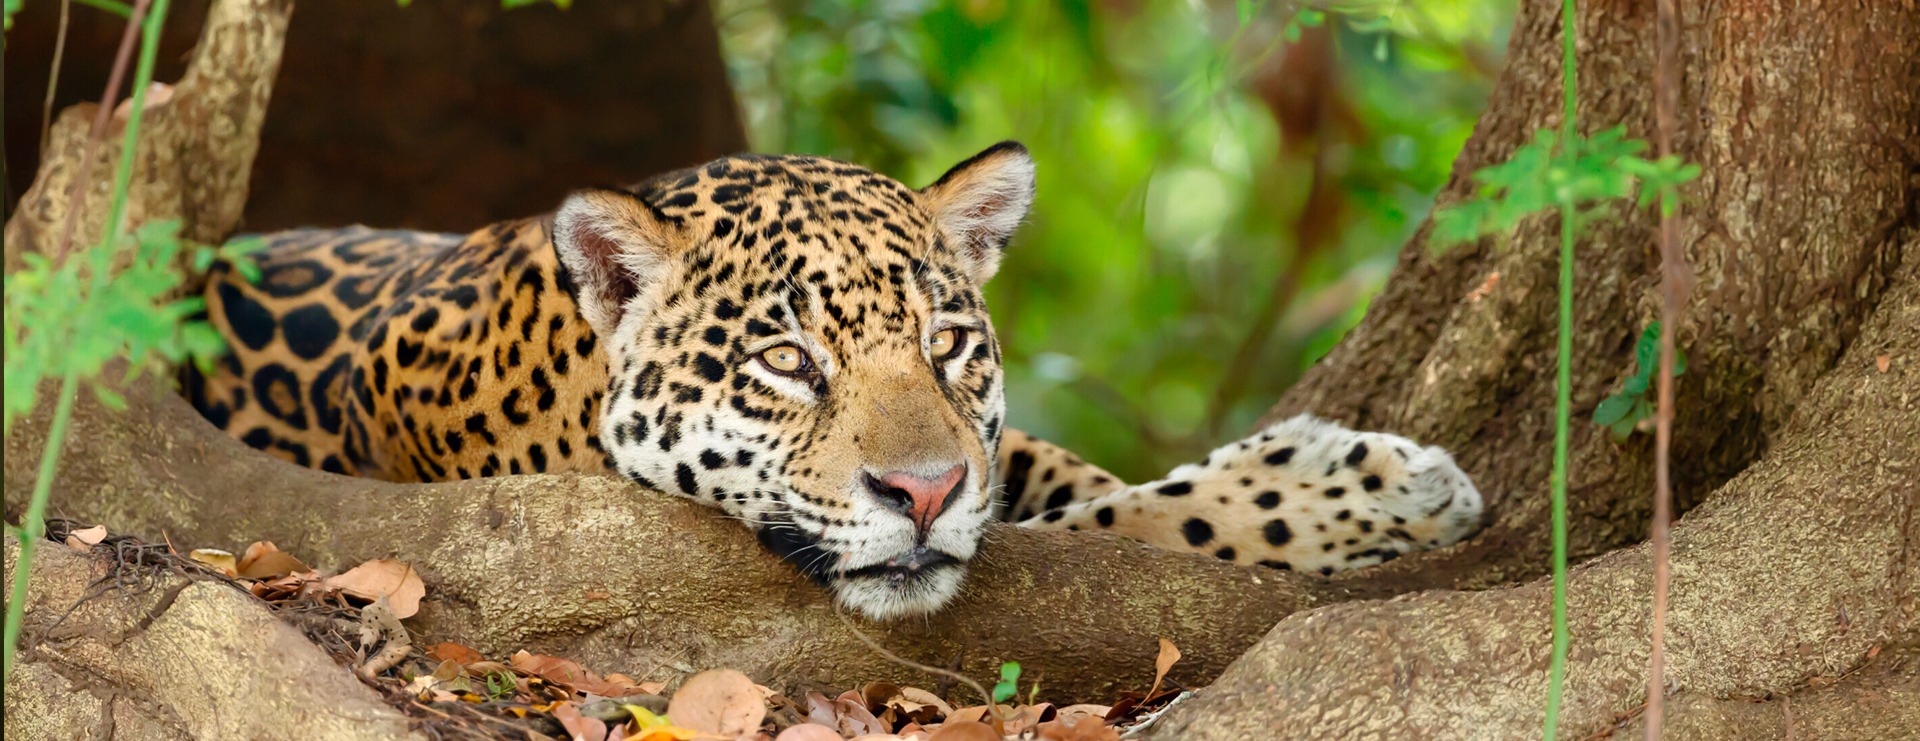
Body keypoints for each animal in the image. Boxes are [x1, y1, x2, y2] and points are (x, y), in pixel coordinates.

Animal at [181, 142, 1484, 619]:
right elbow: (1133, 520)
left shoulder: (992, 445)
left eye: (948, 345)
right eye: (786, 361)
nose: (921, 494)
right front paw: (1370, 489)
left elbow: (1065, 474)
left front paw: (1378, 487)